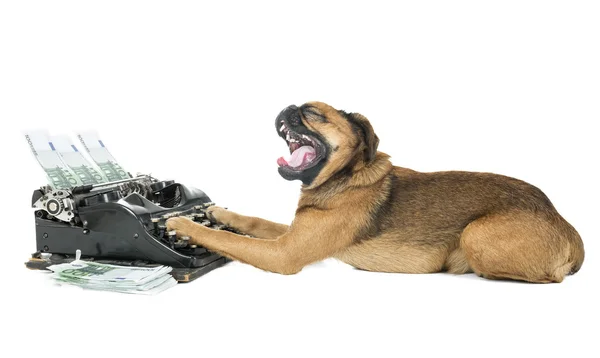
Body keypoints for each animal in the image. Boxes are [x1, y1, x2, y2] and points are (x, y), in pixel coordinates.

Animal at [166, 100, 584, 282]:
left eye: (313, 114)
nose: (286, 107)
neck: (343, 178)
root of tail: (565, 225)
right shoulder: (292, 233)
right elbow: (252, 221)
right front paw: (218, 213)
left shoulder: (284, 254)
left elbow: (227, 239)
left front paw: (184, 225)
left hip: (476, 235)